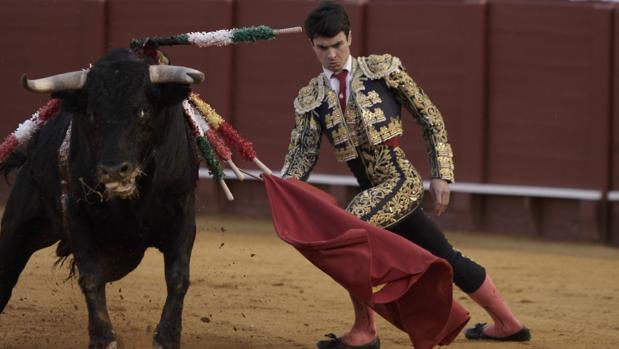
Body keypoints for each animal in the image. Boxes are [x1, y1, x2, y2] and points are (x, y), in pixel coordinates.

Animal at [0, 49, 208, 348]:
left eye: (143, 110)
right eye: (90, 114)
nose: (113, 169)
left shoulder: (183, 215)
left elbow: (178, 276)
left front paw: (167, 337)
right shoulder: (76, 215)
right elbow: (91, 275)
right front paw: (103, 338)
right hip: (19, 225)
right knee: (5, 276)